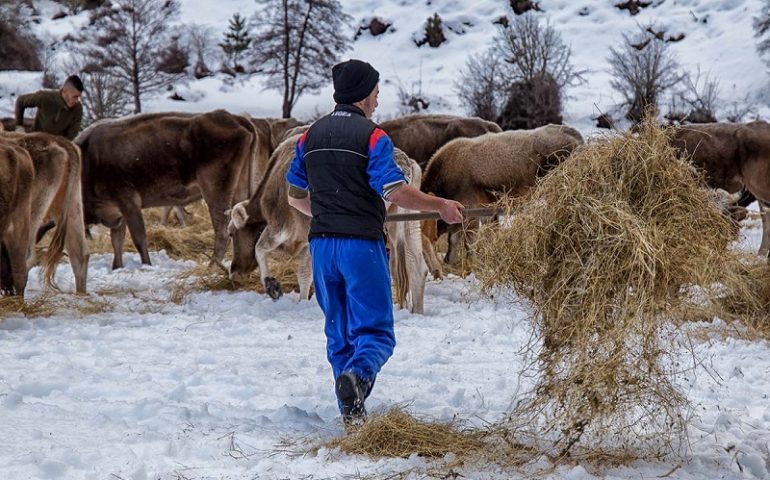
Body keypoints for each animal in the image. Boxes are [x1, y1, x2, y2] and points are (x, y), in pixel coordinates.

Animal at [77, 111, 258, 272]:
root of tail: (236, 119)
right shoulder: (118, 211)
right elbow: (117, 240)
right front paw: (117, 268)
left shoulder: (129, 203)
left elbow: (138, 238)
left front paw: (146, 266)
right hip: (239, 190)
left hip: (215, 191)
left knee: (222, 229)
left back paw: (212, 266)